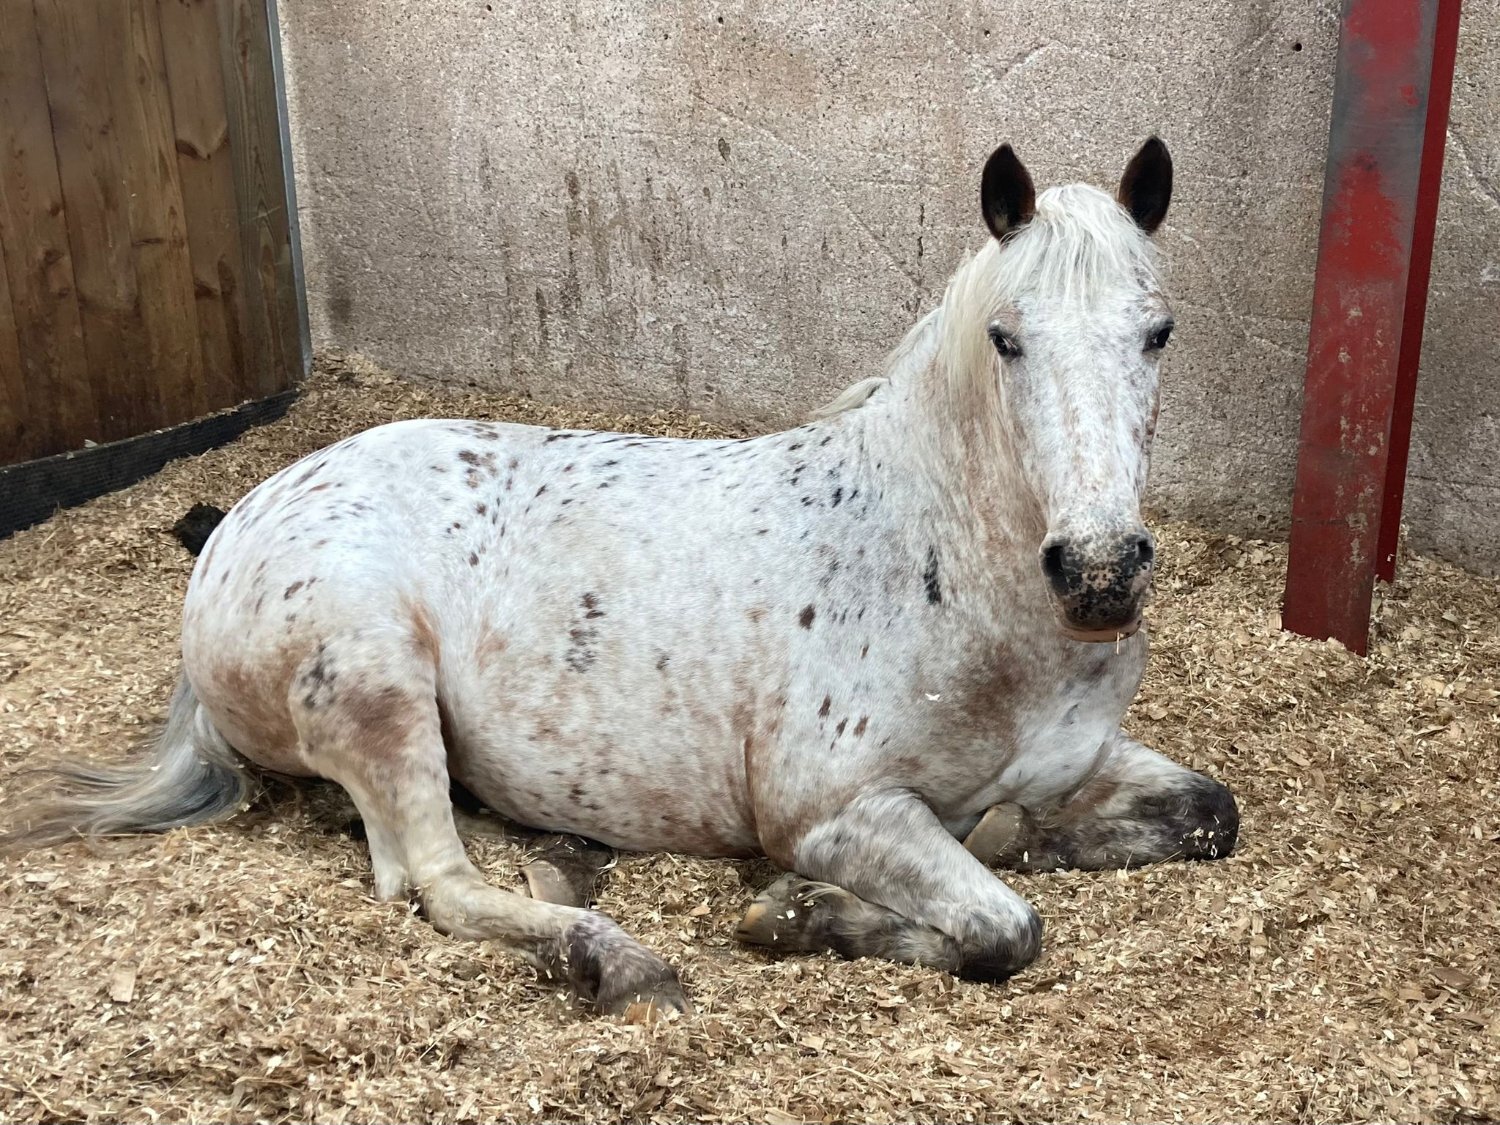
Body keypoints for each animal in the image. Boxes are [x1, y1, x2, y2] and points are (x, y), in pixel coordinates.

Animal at [4, 137, 1238, 1017]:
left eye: (1162, 332)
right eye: (1006, 338)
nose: (1099, 573)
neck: (949, 577)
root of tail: (242, 522)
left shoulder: (1085, 760)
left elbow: (1206, 815)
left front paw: (1024, 832)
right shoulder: (836, 812)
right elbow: (1004, 930)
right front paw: (801, 917)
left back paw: (567, 864)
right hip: (377, 683)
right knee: (432, 881)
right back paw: (618, 961)